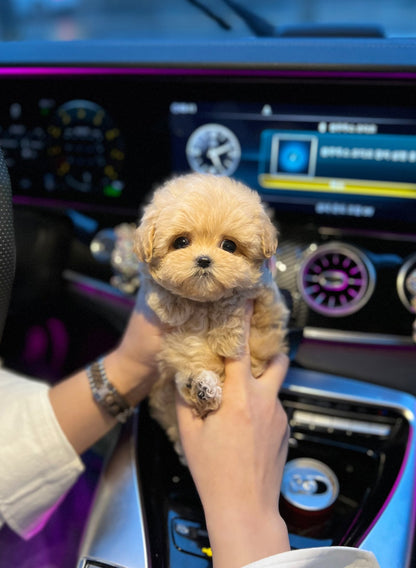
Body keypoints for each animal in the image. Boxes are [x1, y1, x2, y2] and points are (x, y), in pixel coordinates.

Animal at [135, 173, 288, 458]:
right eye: (181, 242)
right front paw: (172, 306)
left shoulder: (265, 302)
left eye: (229, 245)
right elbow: (161, 289)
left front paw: (225, 336)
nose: (204, 260)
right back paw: (199, 388)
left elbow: (233, 299)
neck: (202, 302)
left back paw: (202, 390)